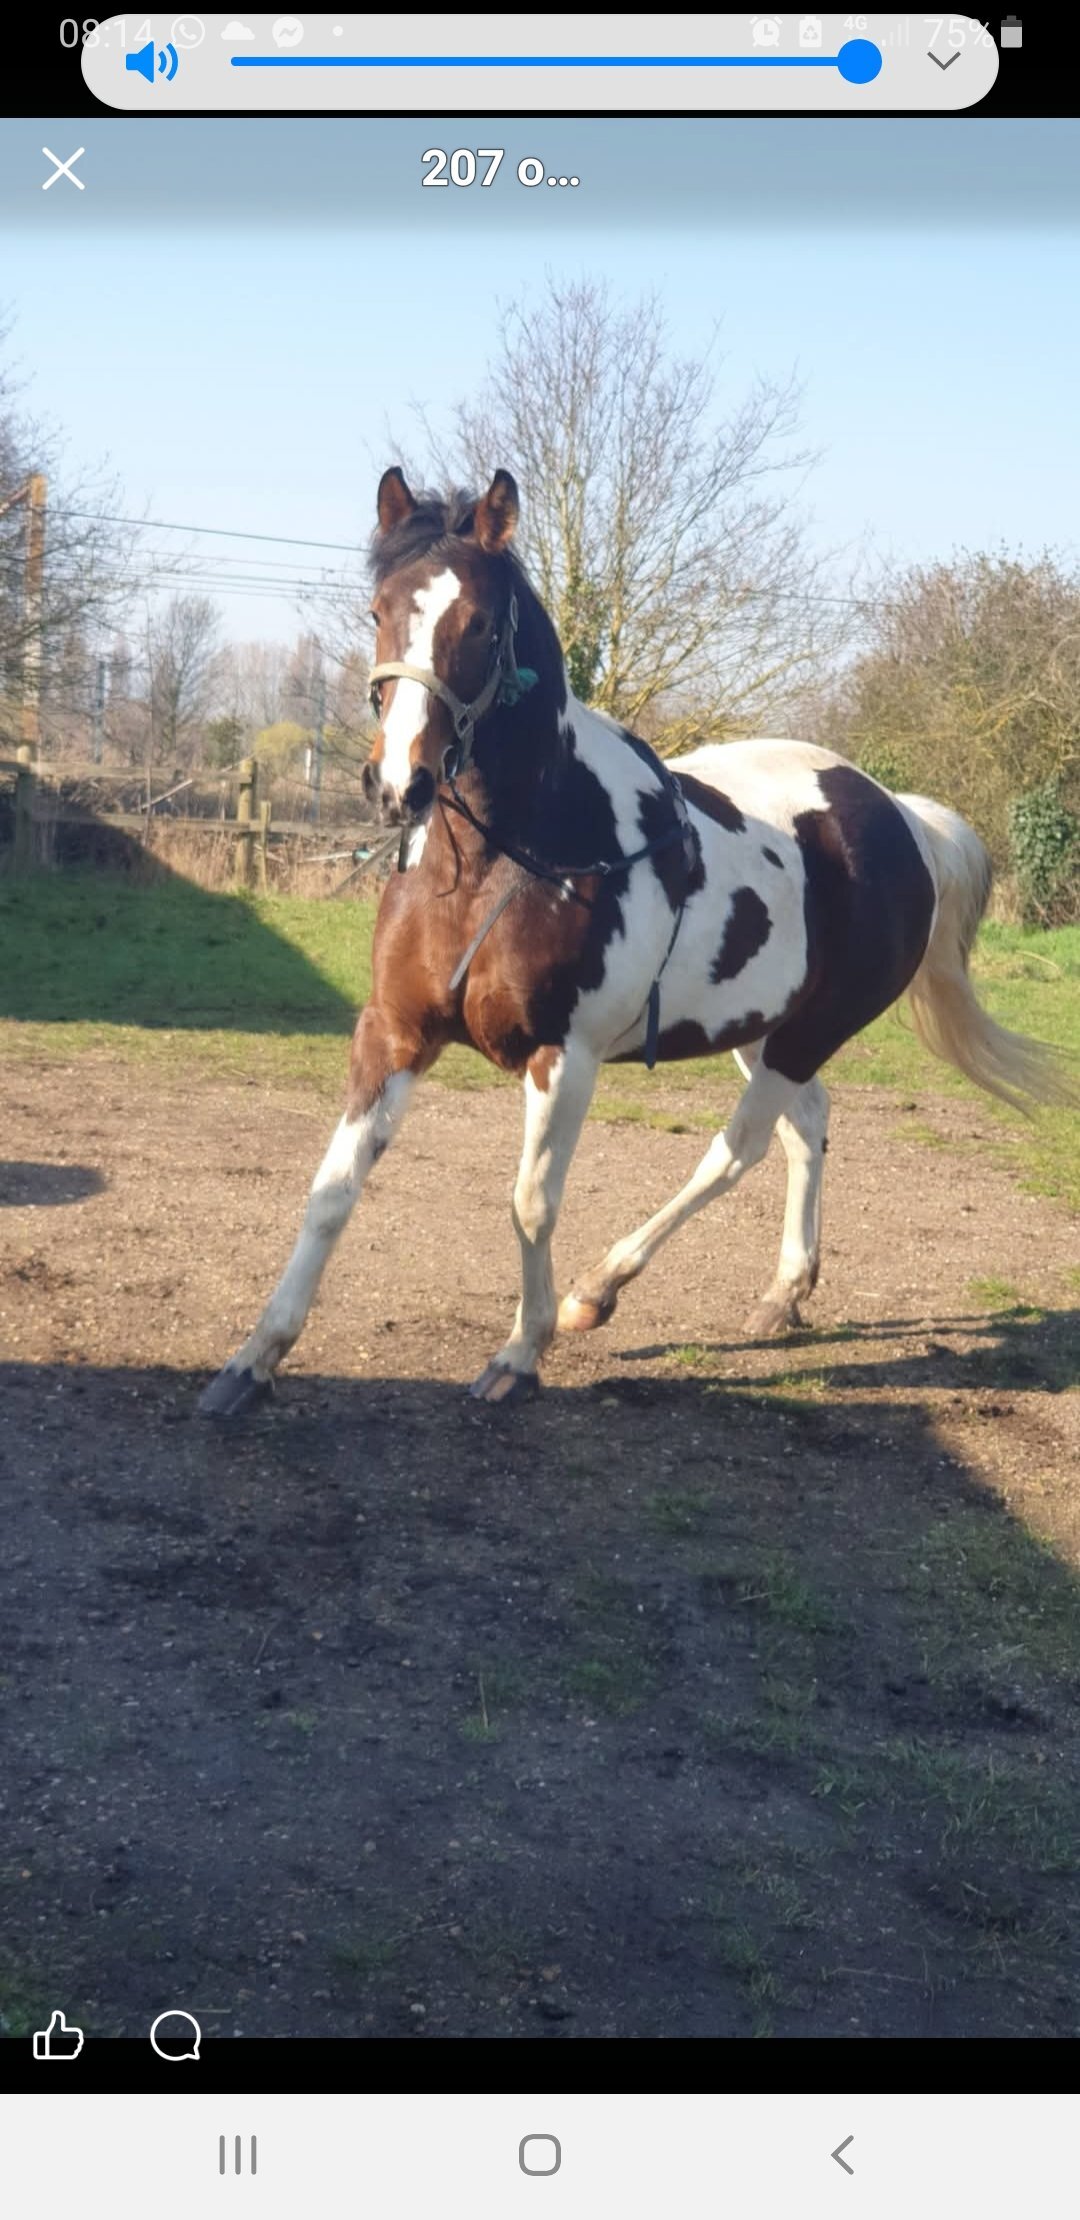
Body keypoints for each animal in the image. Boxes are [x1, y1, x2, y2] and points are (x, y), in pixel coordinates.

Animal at [198, 467, 1074, 1417]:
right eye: (378, 610)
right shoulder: (394, 1033)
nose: (400, 783)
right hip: (765, 1030)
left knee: (738, 1150)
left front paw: (522, 1351)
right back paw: (784, 1292)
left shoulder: (564, 1056)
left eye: (481, 622)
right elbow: (332, 1190)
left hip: (808, 1033)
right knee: (806, 1126)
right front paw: (253, 1359)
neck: (503, 864)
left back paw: (599, 1289)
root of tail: (900, 816)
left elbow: (531, 1203)